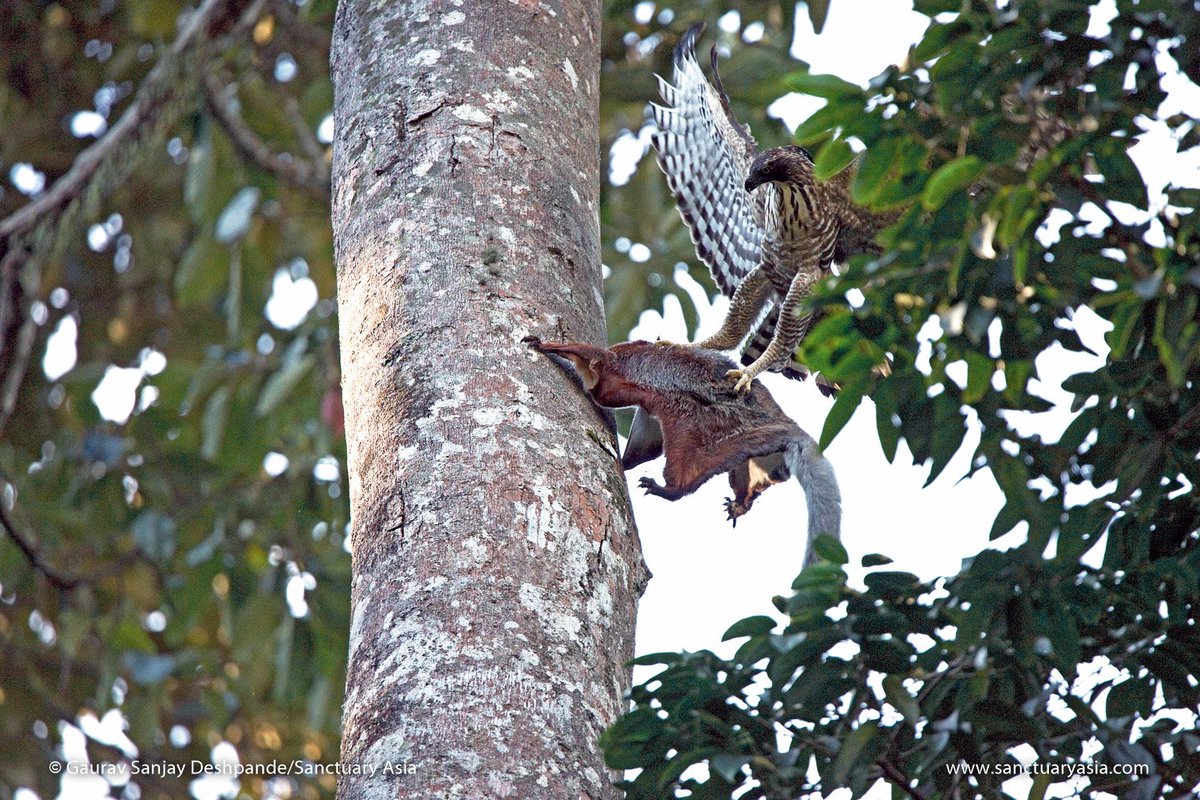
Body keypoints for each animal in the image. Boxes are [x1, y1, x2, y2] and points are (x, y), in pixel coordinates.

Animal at [524, 337, 841, 565]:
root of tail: (783, 421)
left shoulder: (614, 369)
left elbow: (594, 364)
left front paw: (547, 347)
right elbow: (645, 437)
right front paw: (628, 461)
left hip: (720, 428)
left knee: (685, 434)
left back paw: (672, 489)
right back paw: (743, 500)